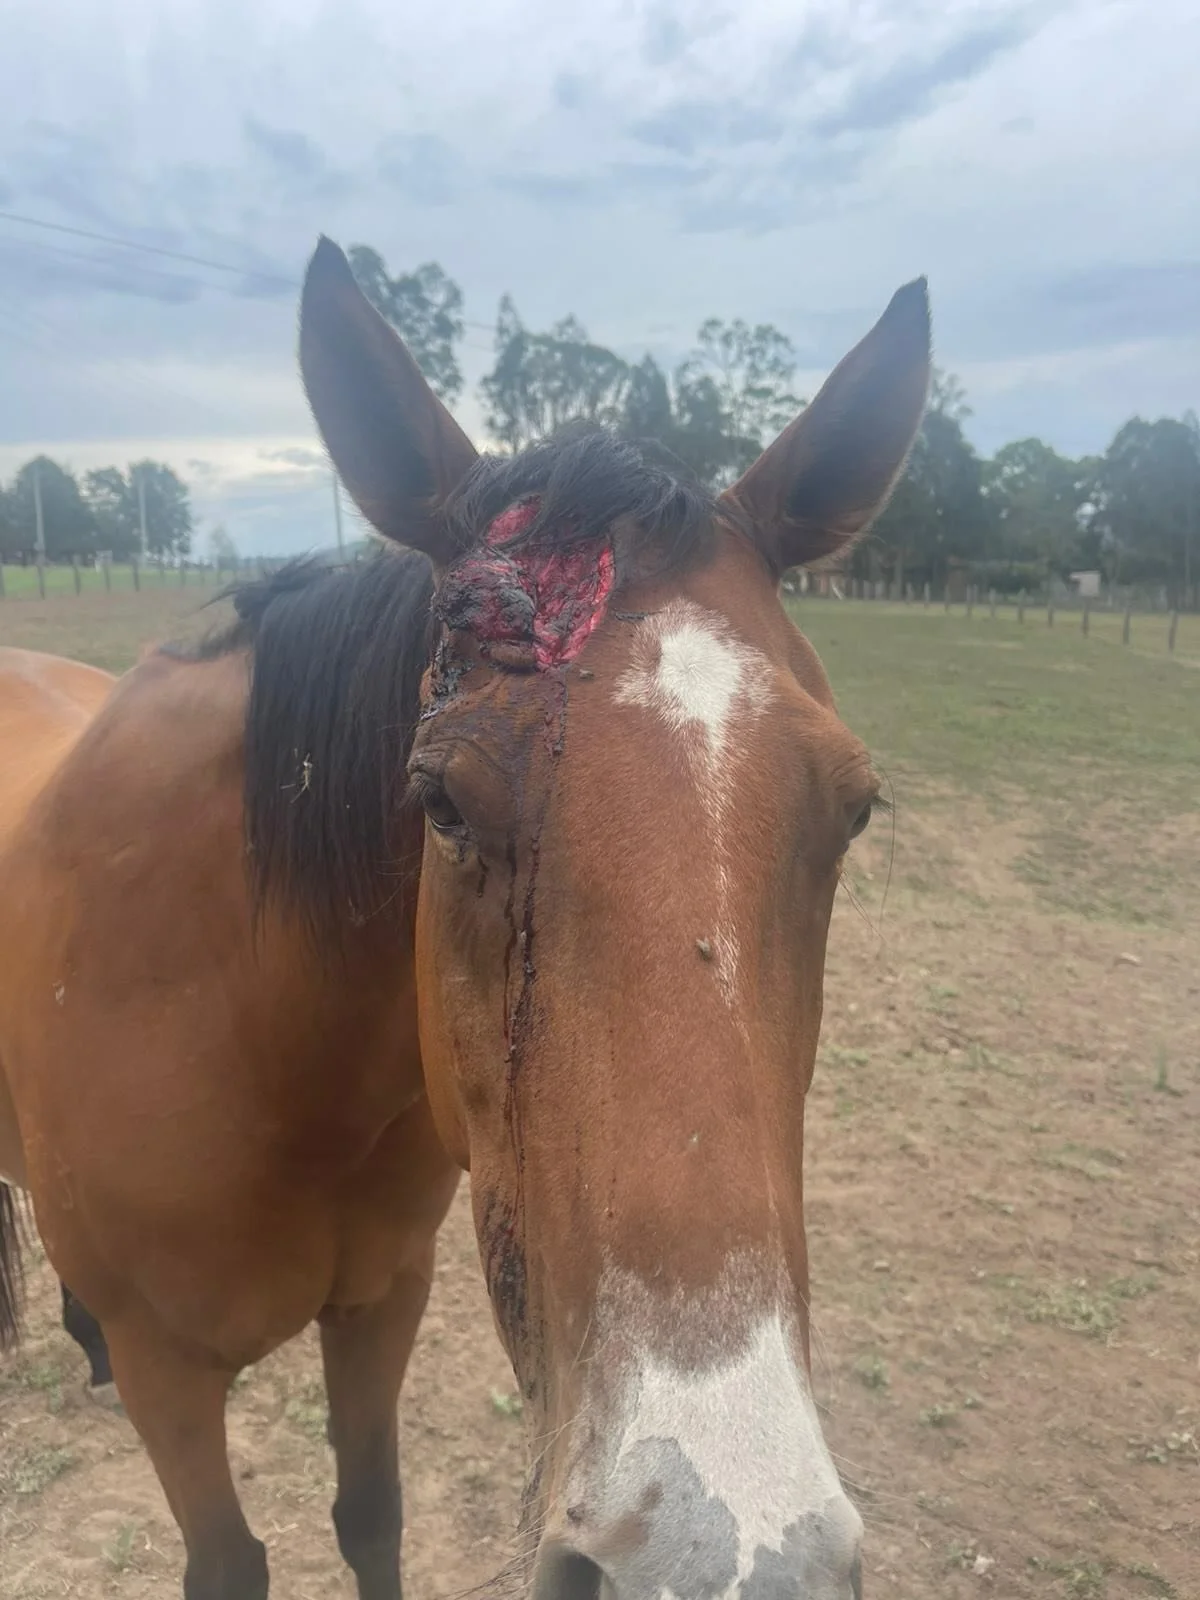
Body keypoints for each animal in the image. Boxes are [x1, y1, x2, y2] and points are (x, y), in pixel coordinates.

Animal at [0, 237, 930, 1600]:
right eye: (439, 801)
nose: (721, 1561)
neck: (247, 1034)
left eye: (852, 813)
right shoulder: (176, 1382)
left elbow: (369, 1514)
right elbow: (233, 1560)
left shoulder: (382, 1301)